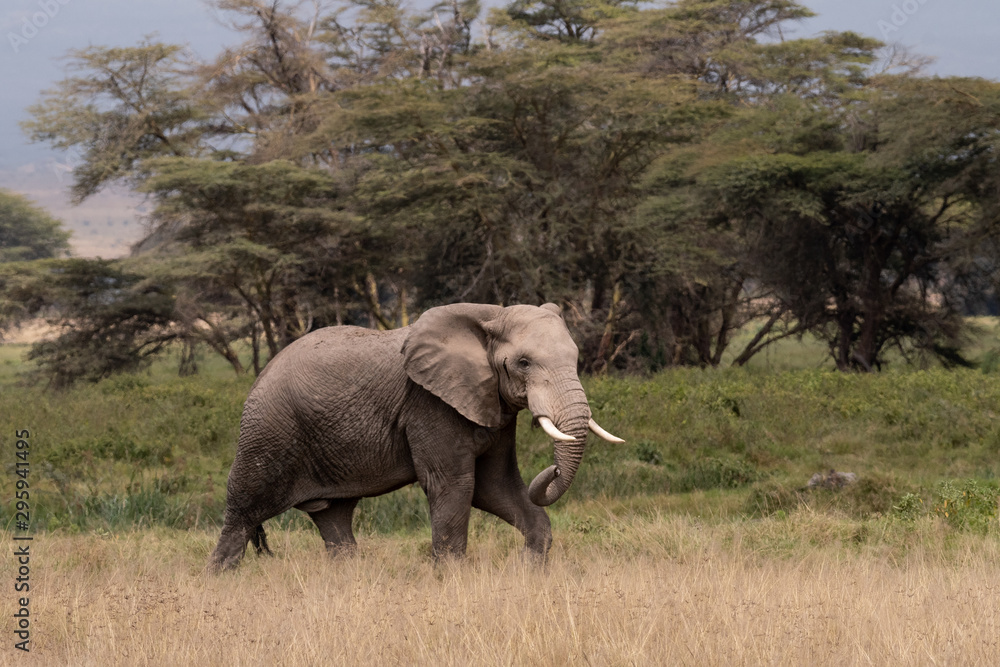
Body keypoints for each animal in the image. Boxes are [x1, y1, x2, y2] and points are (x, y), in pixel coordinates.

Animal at [209, 302, 623, 570]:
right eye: (523, 363)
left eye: (575, 357)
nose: (551, 471)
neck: (490, 314)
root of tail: (261, 374)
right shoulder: (428, 403)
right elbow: (456, 484)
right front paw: (453, 580)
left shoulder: (493, 405)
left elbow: (495, 486)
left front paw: (529, 570)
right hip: (268, 429)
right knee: (242, 511)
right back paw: (220, 579)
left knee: (334, 517)